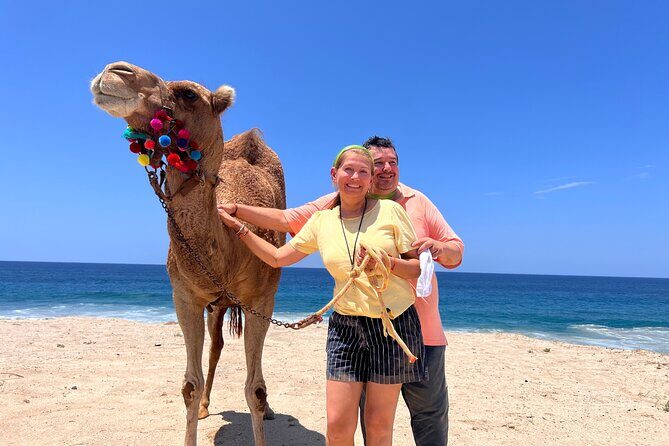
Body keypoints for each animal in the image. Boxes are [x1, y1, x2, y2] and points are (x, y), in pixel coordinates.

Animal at [90, 61, 286, 446]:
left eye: (189, 94)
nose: (114, 70)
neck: (228, 250)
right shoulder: (185, 296)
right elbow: (189, 385)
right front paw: (199, 404)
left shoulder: (262, 299)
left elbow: (255, 390)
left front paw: (264, 406)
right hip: (216, 304)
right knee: (216, 347)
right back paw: (209, 405)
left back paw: (270, 411)